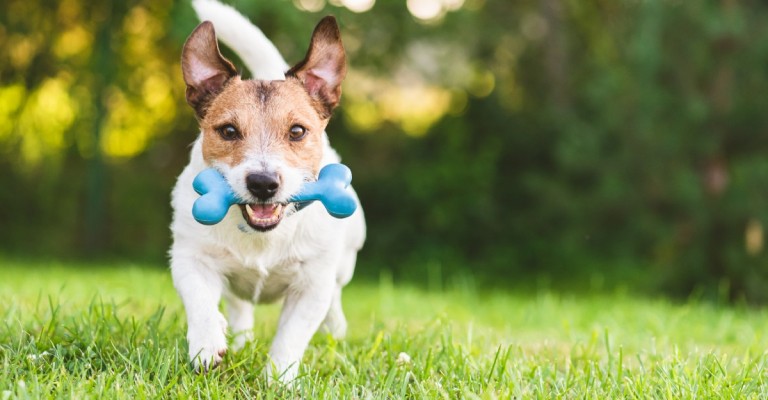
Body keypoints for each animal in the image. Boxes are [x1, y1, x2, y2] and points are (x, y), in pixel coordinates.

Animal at [170, 0, 366, 382]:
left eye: (297, 131)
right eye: (228, 131)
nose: (262, 183)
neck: (262, 236)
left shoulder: (311, 285)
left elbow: (291, 335)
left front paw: (279, 379)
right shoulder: (189, 257)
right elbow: (200, 300)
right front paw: (206, 344)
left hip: (346, 260)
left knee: (336, 296)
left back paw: (335, 329)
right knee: (238, 304)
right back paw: (237, 336)